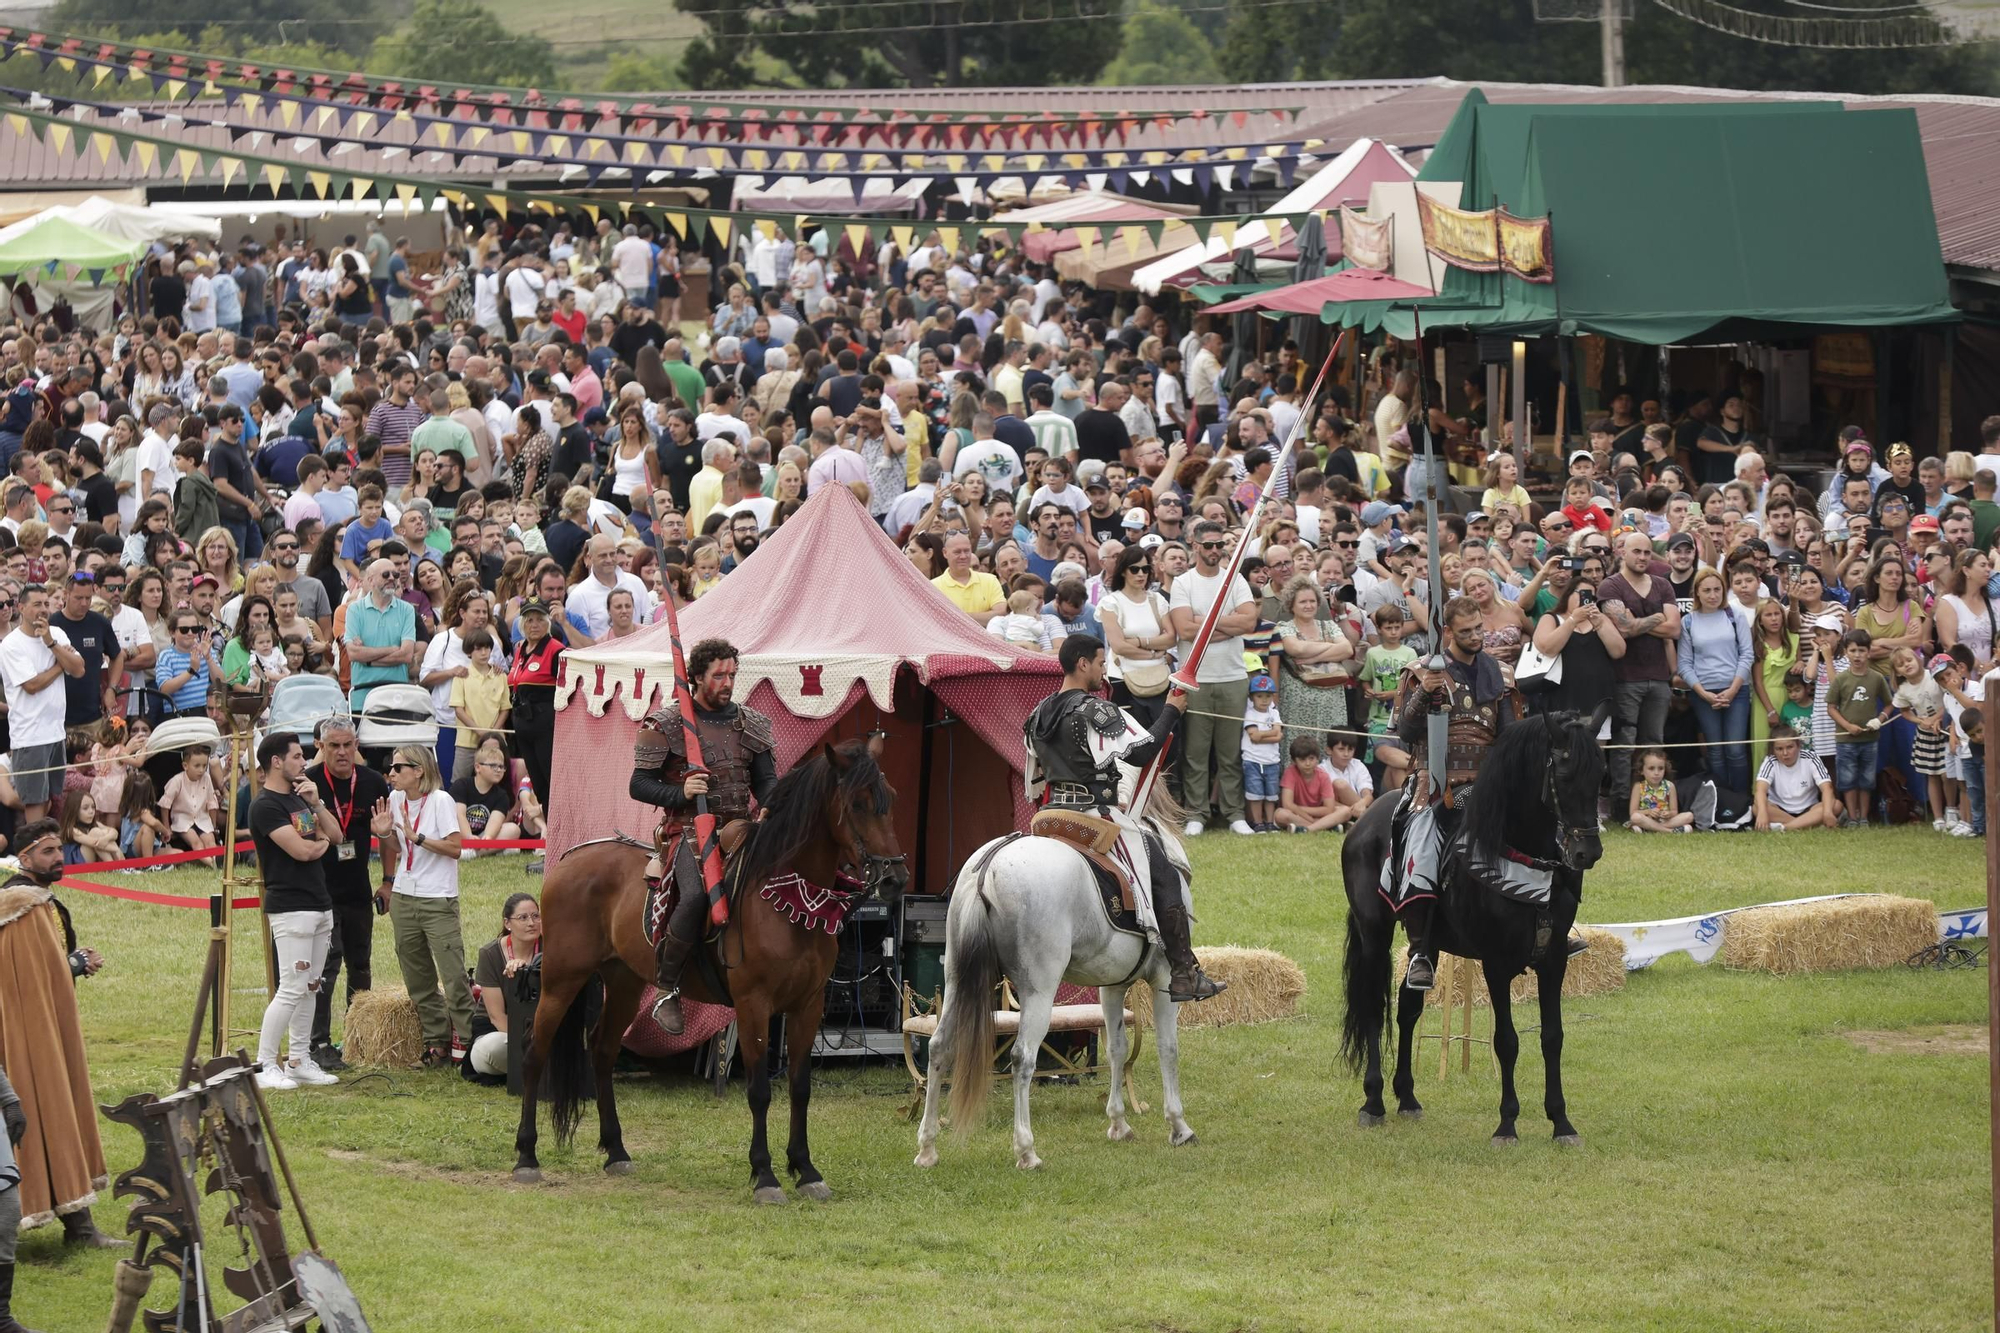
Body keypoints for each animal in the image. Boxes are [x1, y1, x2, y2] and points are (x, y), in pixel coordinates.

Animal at [524, 736, 916, 1192]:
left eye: (890, 798)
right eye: (857, 804)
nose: (895, 878)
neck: (786, 898)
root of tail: (569, 859)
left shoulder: (809, 1004)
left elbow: (800, 1087)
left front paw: (805, 1169)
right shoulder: (753, 1005)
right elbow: (760, 1090)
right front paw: (764, 1174)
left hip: (623, 981)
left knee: (602, 1050)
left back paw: (617, 1151)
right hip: (561, 978)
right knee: (536, 1051)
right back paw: (526, 1156)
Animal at [1344, 704, 1608, 1144]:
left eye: (1600, 776)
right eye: (1565, 774)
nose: (1587, 852)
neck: (1516, 850)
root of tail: (1364, 822)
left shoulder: (1553, 959)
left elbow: (1552, 1037)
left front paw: (1561, 1123)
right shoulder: (1496, 964)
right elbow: (1507, 1041)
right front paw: (1507, 1124)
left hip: (1427, 943)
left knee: (1408, 1007)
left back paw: (1408, 1098)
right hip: (1374, 935)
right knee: (1372, 1008)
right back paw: (1373, 1102)